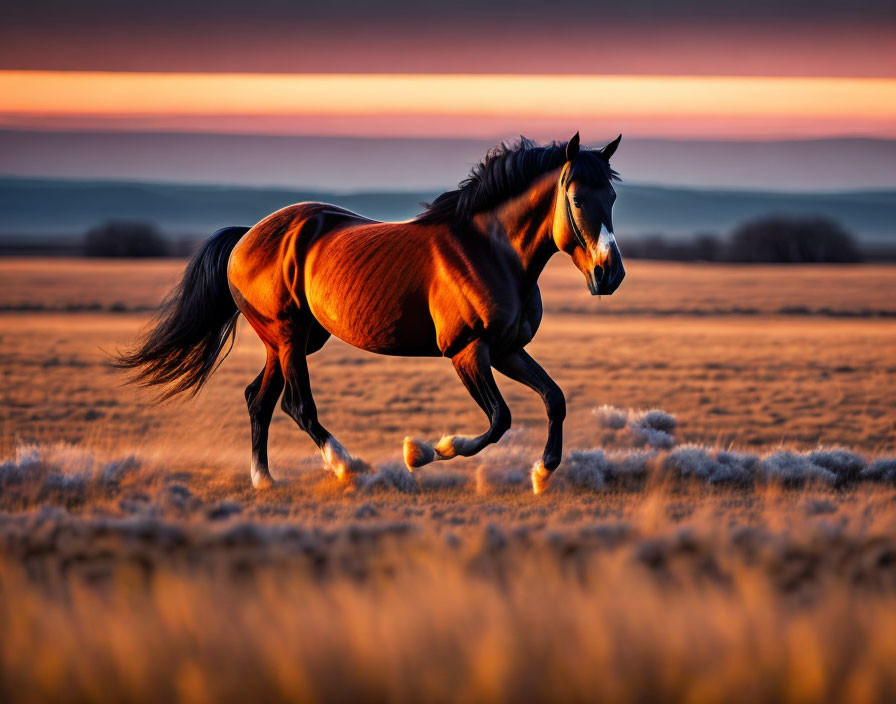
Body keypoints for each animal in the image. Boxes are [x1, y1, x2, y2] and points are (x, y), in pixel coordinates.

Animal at [117, 133, 624, 496]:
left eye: (613, 199)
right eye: (577, 199)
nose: (610, 273)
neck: (491, 252)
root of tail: (246, 236)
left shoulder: (506, 350)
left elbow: (554, 399)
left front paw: (542, 473)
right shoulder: (467, 353)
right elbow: (499, 420)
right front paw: (422, 451)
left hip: (293, 341)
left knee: (258, 400)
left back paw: (264, 480)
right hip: (287, 336)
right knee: (297, 405)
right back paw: (346, 465)